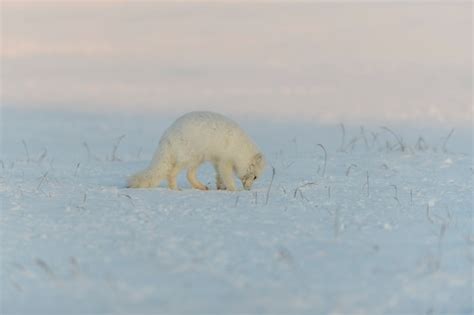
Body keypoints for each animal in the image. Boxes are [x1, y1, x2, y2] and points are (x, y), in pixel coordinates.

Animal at [128, 112, 264, 191]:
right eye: (255, 177)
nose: (248, 189)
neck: (240, 149)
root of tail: (167, 135)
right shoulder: (225, 161)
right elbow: (227, 176)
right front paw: (233, 190)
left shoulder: (217, 161)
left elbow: (219, 176)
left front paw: (221, 187)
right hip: (188, 158)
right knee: (172, 173)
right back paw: (175, 189)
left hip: (197, 159)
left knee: (189, 175)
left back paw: (201, 187)